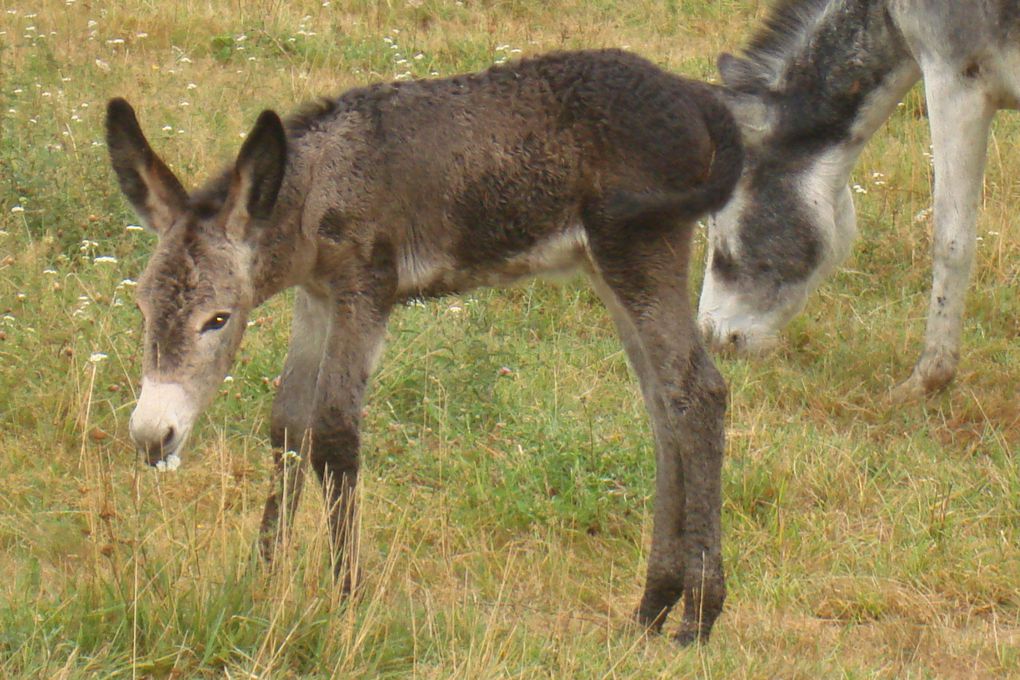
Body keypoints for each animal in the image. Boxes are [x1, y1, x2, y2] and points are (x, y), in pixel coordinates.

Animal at [107, 49, 742, 644]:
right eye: (140, 309)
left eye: (218, 319)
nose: (151, 436)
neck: (317, 190)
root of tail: (693, 95)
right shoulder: (316, 299)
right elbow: (287, 424)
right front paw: (263, 578)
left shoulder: (366, 288)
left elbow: (334, 433)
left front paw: (348, 598)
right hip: (607, 264)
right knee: (663, 404)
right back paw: (653, 606)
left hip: (641, 247)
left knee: (699, 392)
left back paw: (698, 617)